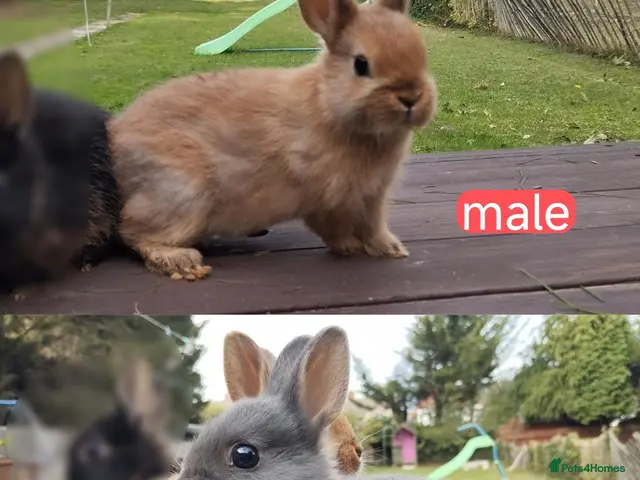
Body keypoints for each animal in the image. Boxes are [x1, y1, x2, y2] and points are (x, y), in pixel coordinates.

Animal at [107, 0, 437, 281]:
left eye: (422, 54)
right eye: (361, 64)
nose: (411, 97)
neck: (328, 104)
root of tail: (115, 142)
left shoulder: (374, 196)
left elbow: (374, 227)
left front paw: (392, 249)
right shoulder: (331, 197)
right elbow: (335, 228)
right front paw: (349, 247)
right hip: (184, 191)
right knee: (132, 233)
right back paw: (181, 260)